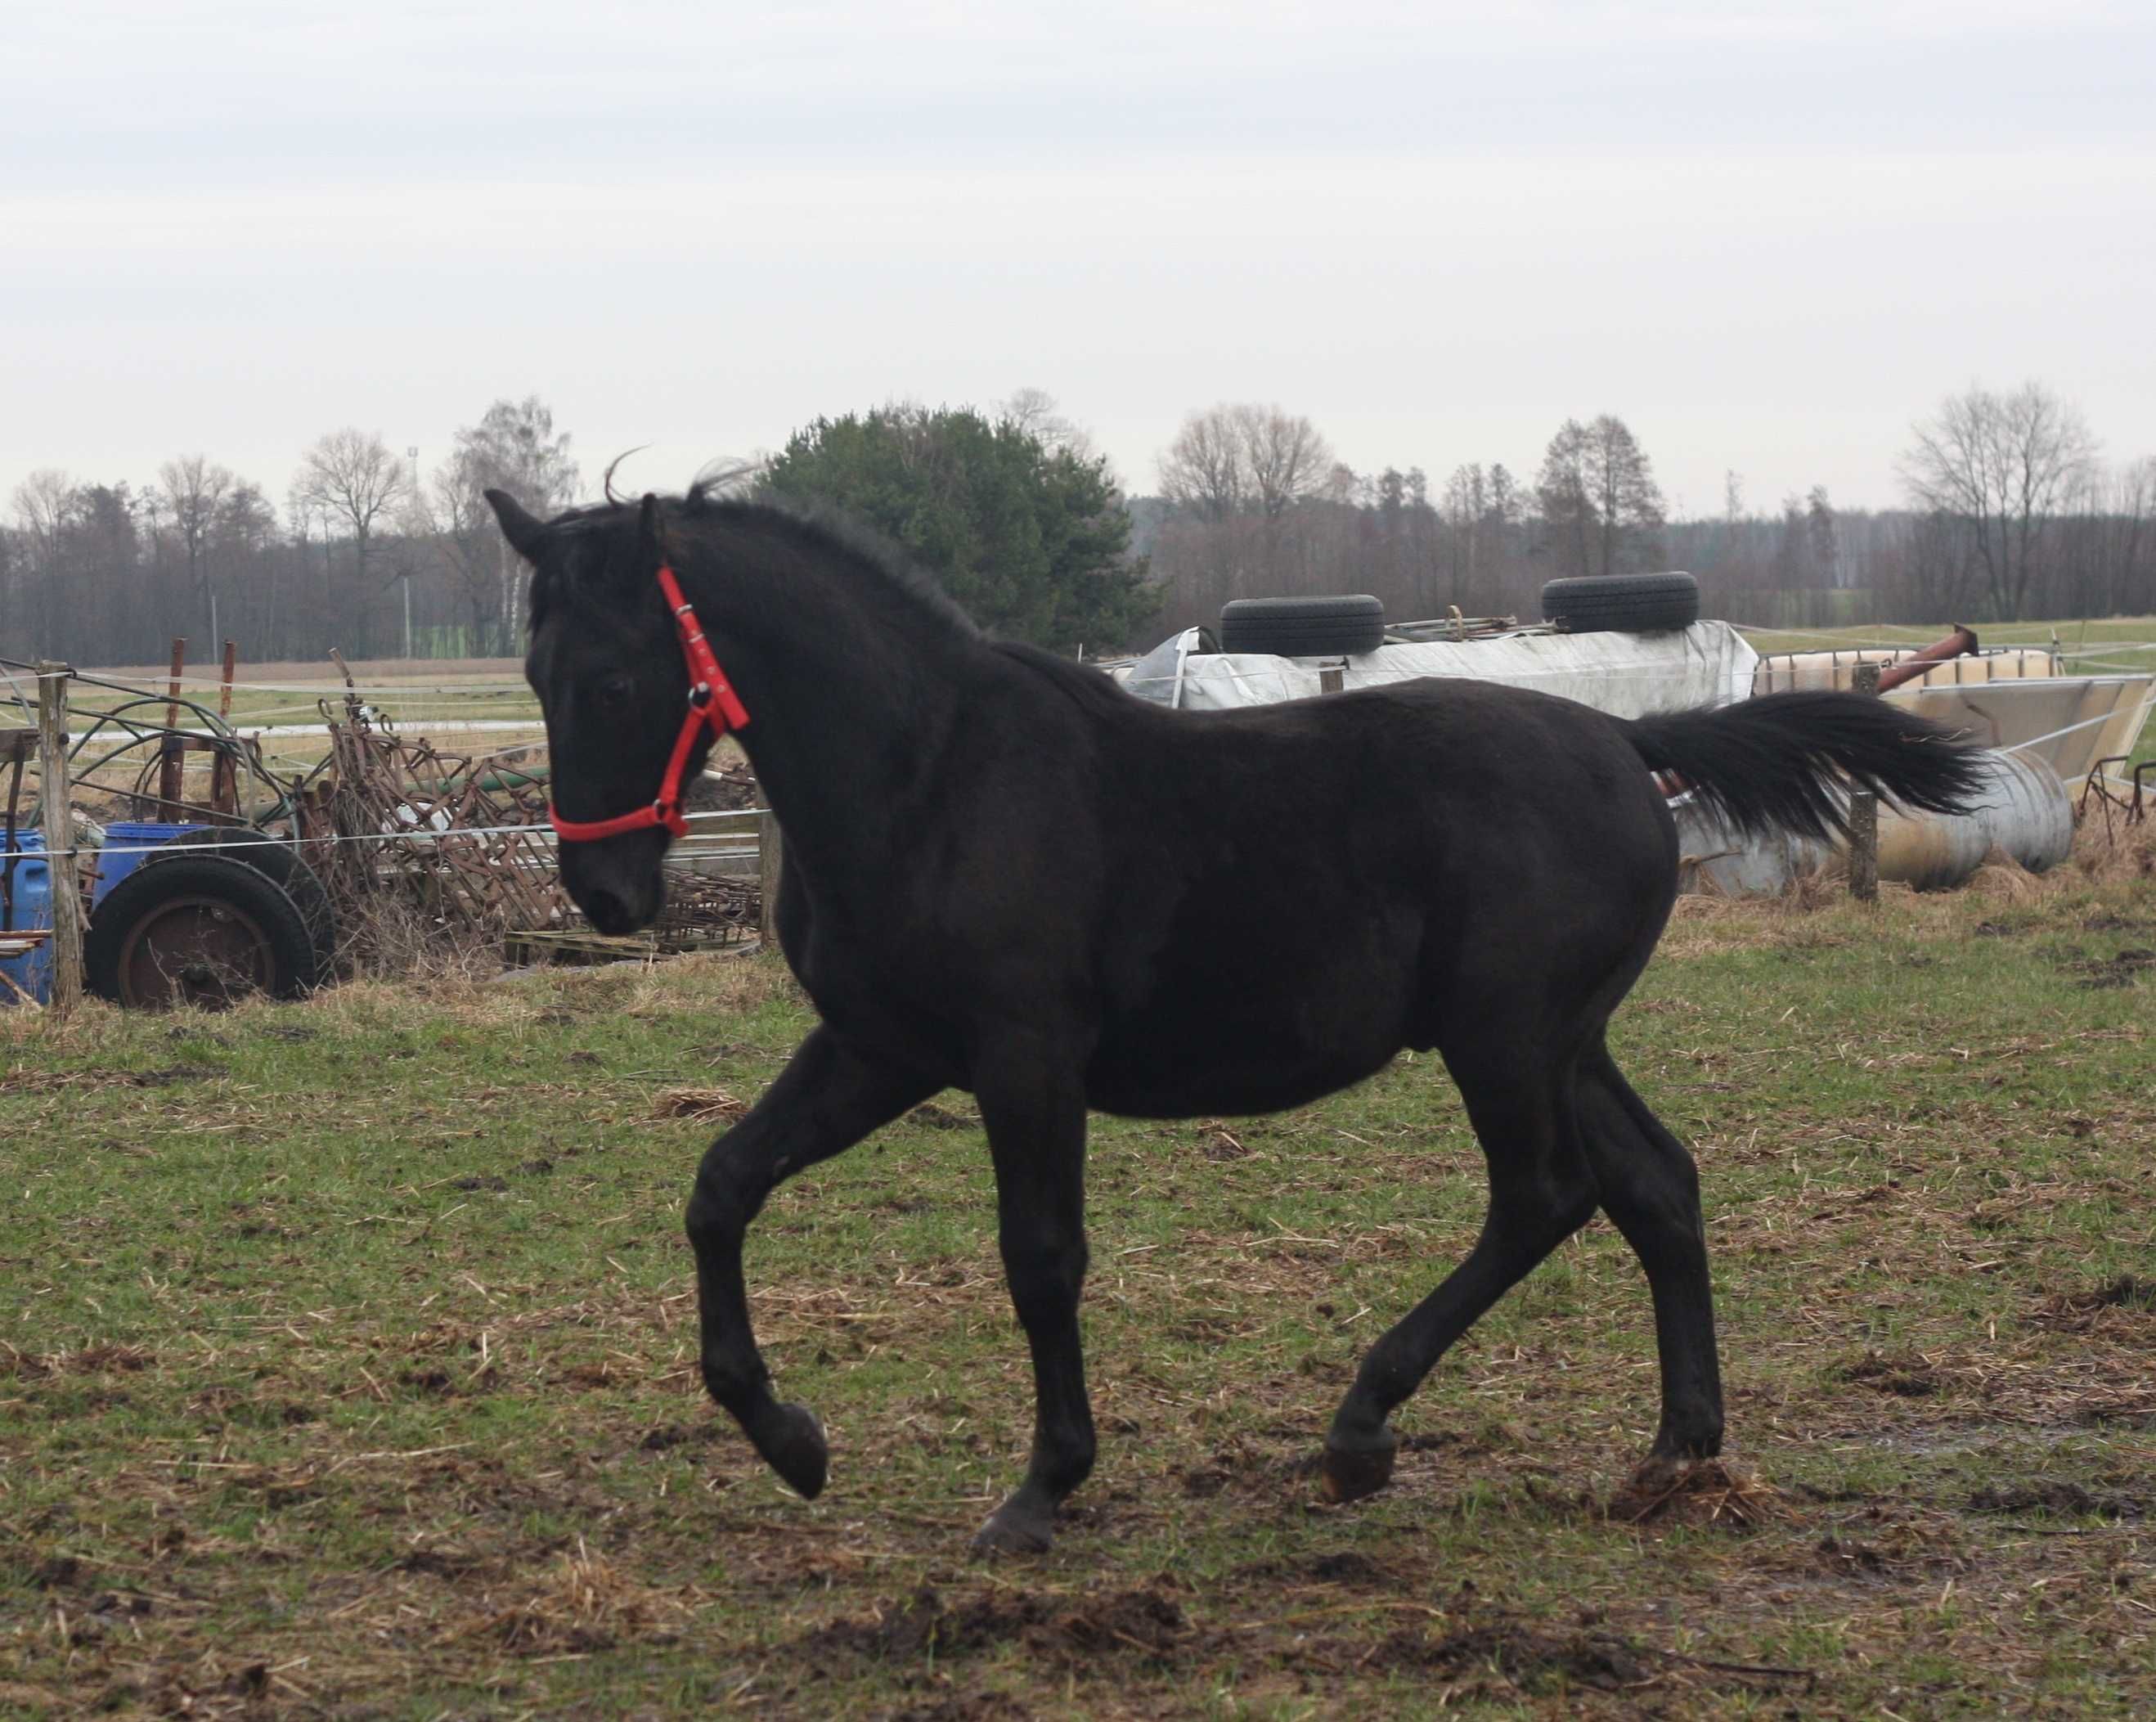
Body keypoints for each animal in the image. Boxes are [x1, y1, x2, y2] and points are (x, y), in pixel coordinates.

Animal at [489, 480, 1983, 1551]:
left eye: (614, 679)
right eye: (534, 675)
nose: (605, 893)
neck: (931, 777)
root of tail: (1627, 741)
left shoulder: (1025, 1058)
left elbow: (1040, 1257)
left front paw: (1043, 1488)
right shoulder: (881, 1050)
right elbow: (722, 1185)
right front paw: (791, 1440)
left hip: (1505, 1040)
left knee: (1545, 1195)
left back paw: (1361, 1433)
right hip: (1567, 1040)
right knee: (1655, 1187)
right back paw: (1674, 1453)